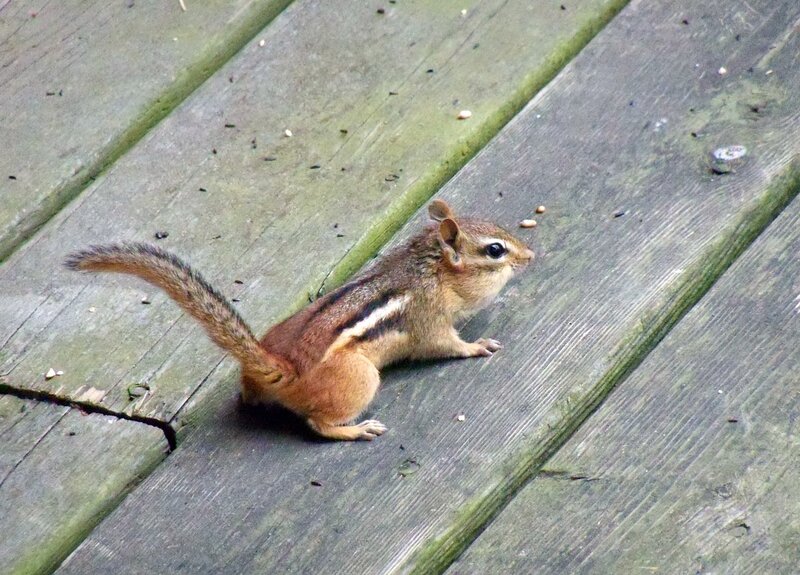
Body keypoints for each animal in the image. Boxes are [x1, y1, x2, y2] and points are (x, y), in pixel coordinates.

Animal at [65, 200, 534, 440]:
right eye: (495, 250)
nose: (531, 256)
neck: (430, 267)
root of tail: (283, 368)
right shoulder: (429, 319)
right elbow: (446, 344)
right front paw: (477, 346)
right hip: (360, 379)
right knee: (318, 424)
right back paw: (356, 430)